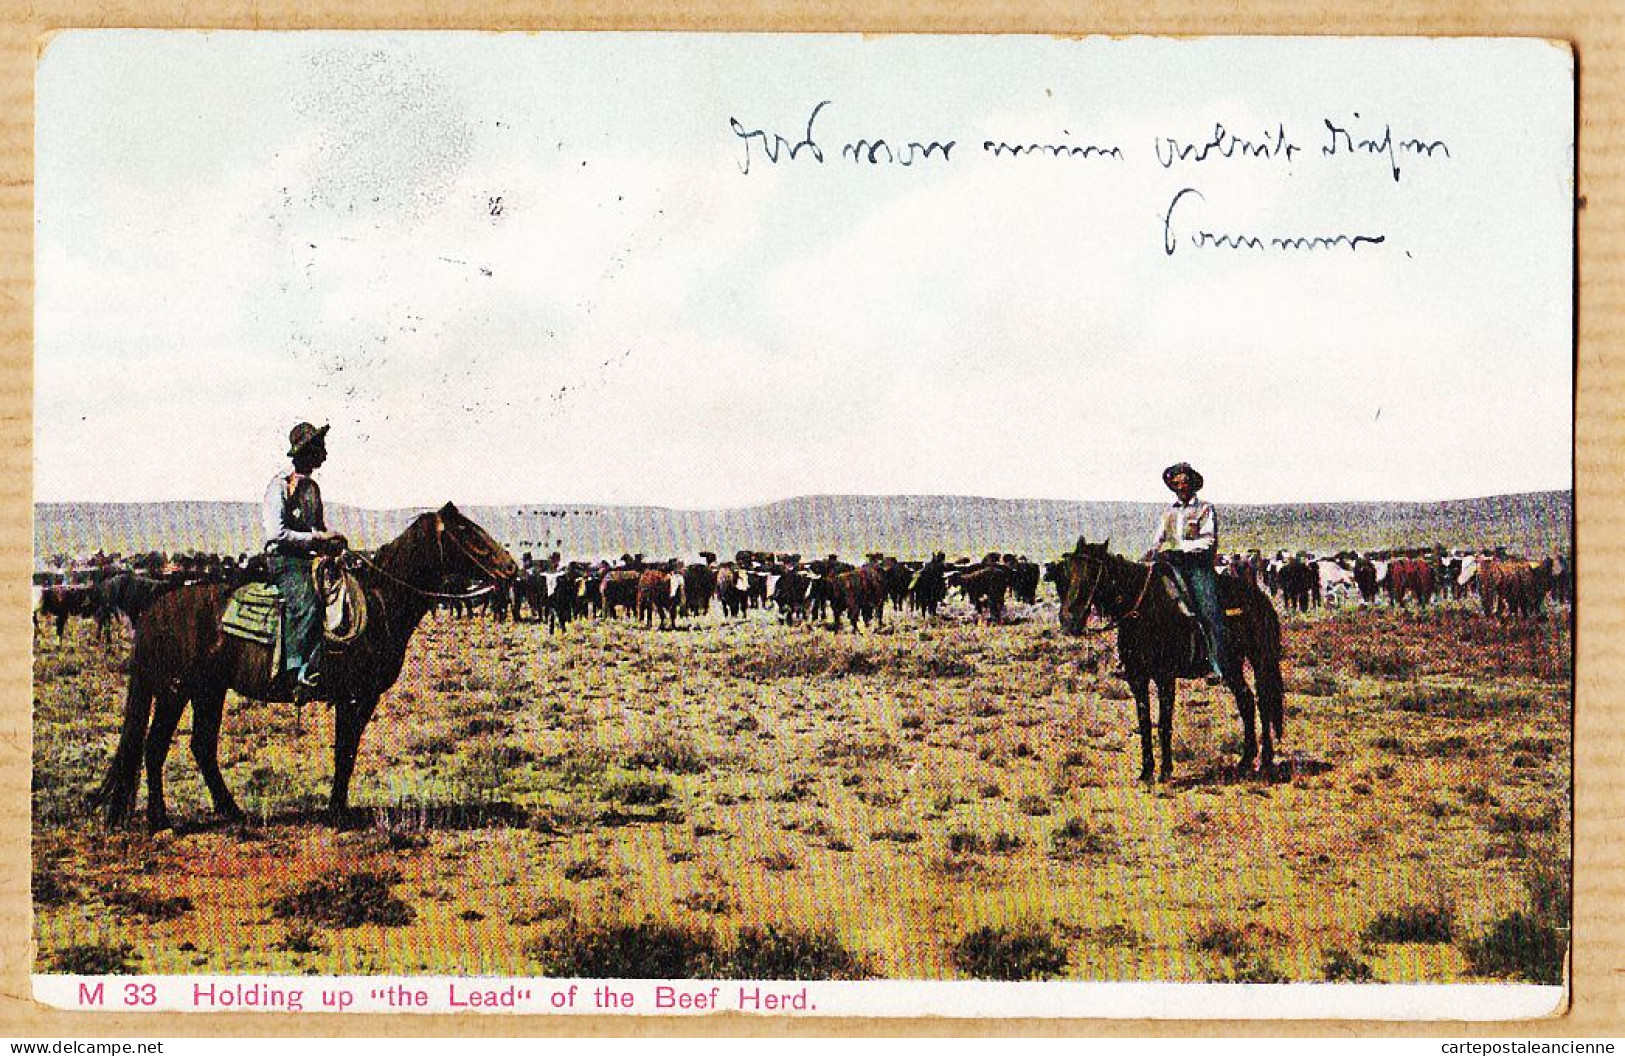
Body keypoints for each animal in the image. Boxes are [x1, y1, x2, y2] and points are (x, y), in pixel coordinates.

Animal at [87, 500, 513, 831]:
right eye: (468, 532)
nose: (510, 569)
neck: (380, 602)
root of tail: (154, 608)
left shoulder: (360, 698)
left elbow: (347, 751)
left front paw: (338, 807)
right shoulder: (355, 697)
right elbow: (345, 751)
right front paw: (338, 813)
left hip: (208, 690)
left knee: (201, 746)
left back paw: (232, 812)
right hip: (175, 690)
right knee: (156, 746)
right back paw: (160, 820)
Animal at [1059, 536, 1287, 779]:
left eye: (1093, 573)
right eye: (1067, 571)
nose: (1068, 620)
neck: (1142, 610)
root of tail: (1260, 598)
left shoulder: (1165, 677)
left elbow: (1164, 722)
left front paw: (1166, 770)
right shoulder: (1137, 678)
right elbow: (1145, 722)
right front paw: (1147, 771)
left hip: (1259, 659)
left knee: (1263, 700)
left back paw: (1265, 759)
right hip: (1232, 665)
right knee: (1246, 700)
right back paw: (1245, 760)